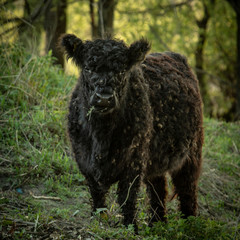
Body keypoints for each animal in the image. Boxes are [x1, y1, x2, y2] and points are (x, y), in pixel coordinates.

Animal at [59, 34, 202, 229]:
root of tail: (174, 55)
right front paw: (98, 220)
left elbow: (127, 198)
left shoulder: (134, 160)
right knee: (158, 188)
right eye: (88, 68)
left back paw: (190, 225)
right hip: (156, 157)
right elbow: (97, 195)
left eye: (121, 71)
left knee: (187, 189)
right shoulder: (84, 159)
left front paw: (131, 228)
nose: (104, 98)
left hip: (192, 152)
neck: (101, 135)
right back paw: (157, 223)